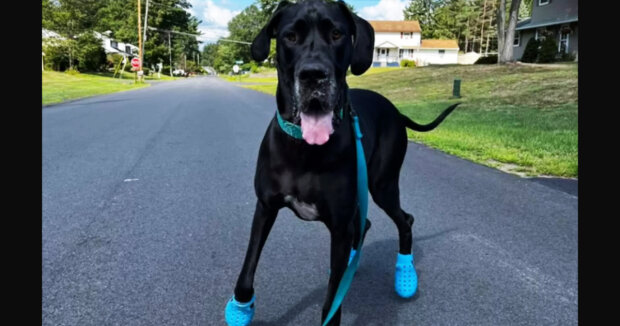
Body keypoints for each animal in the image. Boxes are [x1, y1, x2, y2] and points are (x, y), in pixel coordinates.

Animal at [225, 1, 458, 324]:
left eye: (336, 34)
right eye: (290, 37)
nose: (313, 76)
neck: (305, 148)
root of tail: (396, 110)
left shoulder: (339, 224)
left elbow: (332, 300)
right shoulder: (265, 207)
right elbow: (248, 264)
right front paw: (241, 306)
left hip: (382, 185)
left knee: (404, 220)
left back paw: (403, 274)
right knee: (365, 224)